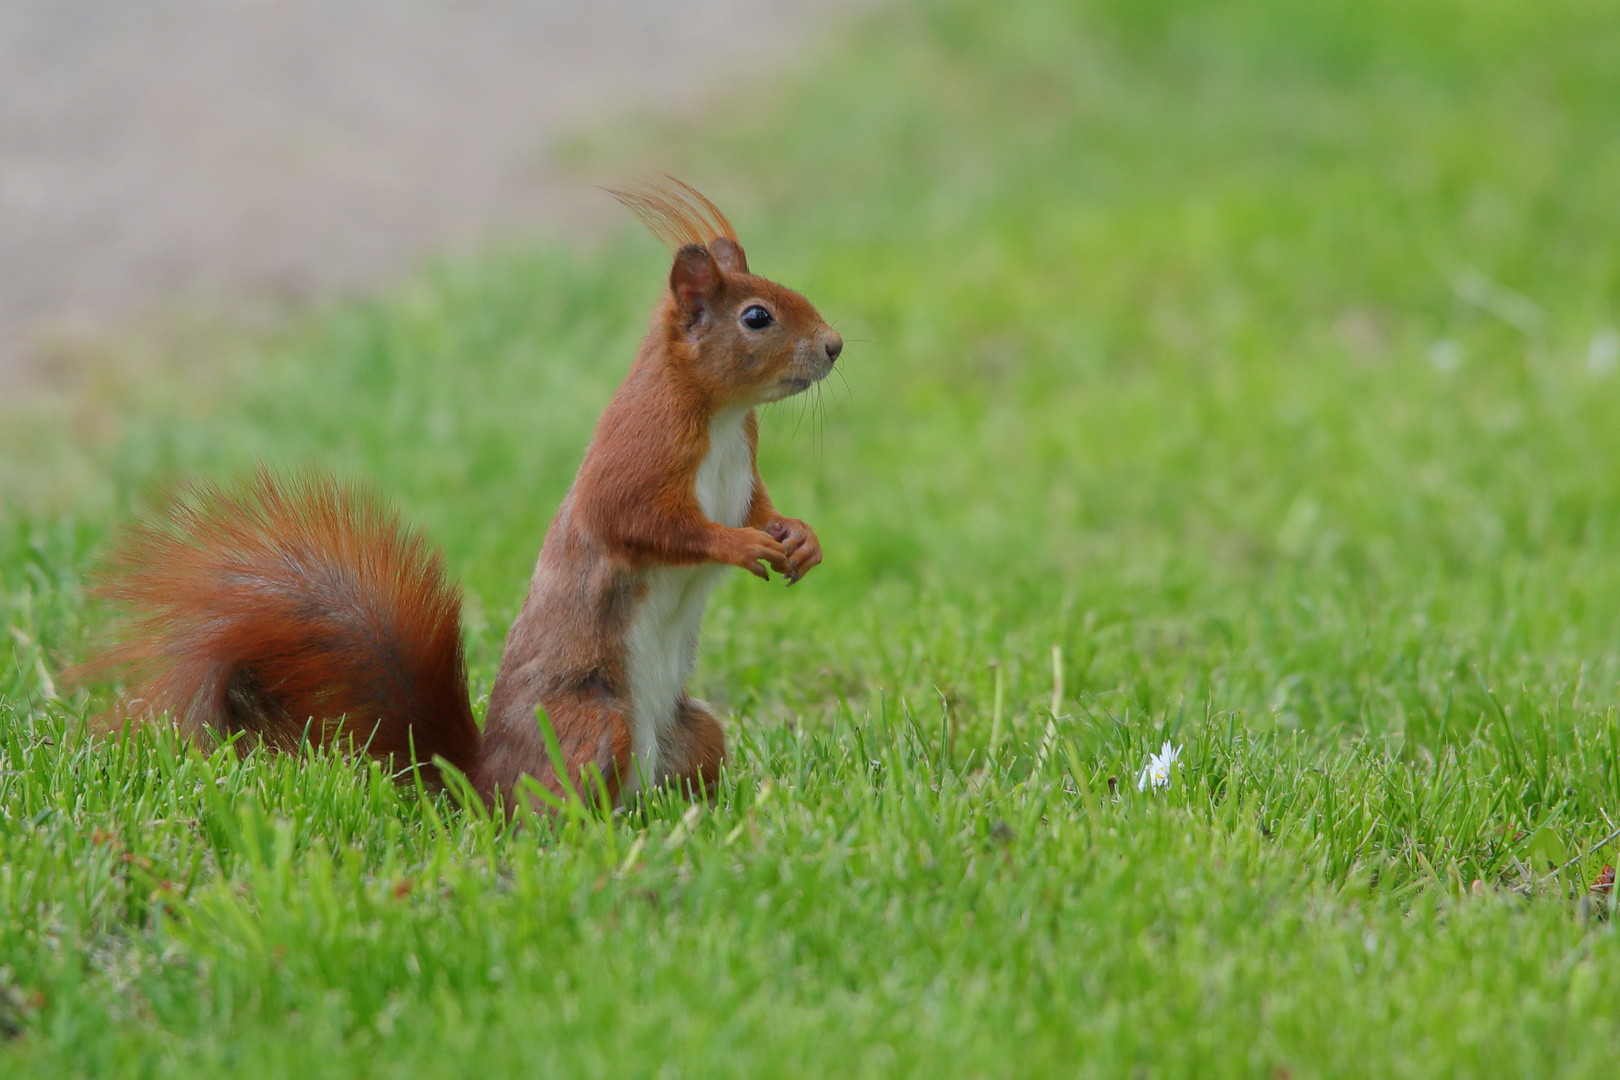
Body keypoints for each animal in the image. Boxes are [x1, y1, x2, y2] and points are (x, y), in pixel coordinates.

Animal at [85, 179, 848, 809]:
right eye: (757, 317)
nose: (836, 345)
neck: (720, 414)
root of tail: (483, 787)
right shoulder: (638, 454)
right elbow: (647, 521)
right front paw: (740, 545)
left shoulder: (743, 467)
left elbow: (759, 507)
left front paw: (799, 538)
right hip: (595, 721)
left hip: (693, 730)